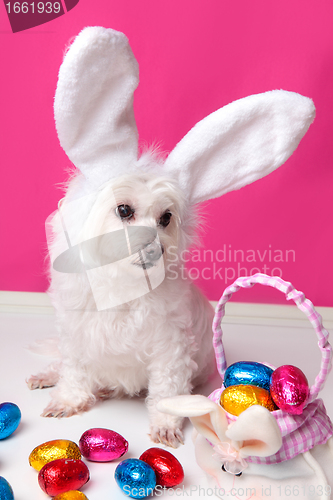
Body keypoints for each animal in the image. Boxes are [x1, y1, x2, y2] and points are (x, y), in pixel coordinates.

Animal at [26, 26, 314, 446]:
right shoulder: (77, 338)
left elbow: (166, 391)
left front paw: (165, 424)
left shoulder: (171, 351)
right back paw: (48, 376)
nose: (155, 247)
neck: (124, 292)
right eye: (124, 211)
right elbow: (75, 373)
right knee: (64, 365)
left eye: (166, 218)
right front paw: (68, 399)